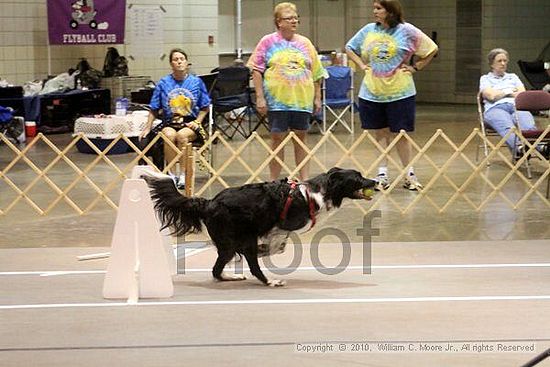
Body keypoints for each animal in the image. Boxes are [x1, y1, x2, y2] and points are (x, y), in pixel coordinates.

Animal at [142, 169, 378, 288]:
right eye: (358, 178)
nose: (376, 181)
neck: (320, 192)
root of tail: (209, 203)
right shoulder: (281, 226)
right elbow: (277, 246)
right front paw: (266, 251)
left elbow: (279, 247)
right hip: (240, 238)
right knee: (247, 265)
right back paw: (270, 281)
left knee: (217, 269)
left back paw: (232, 276)